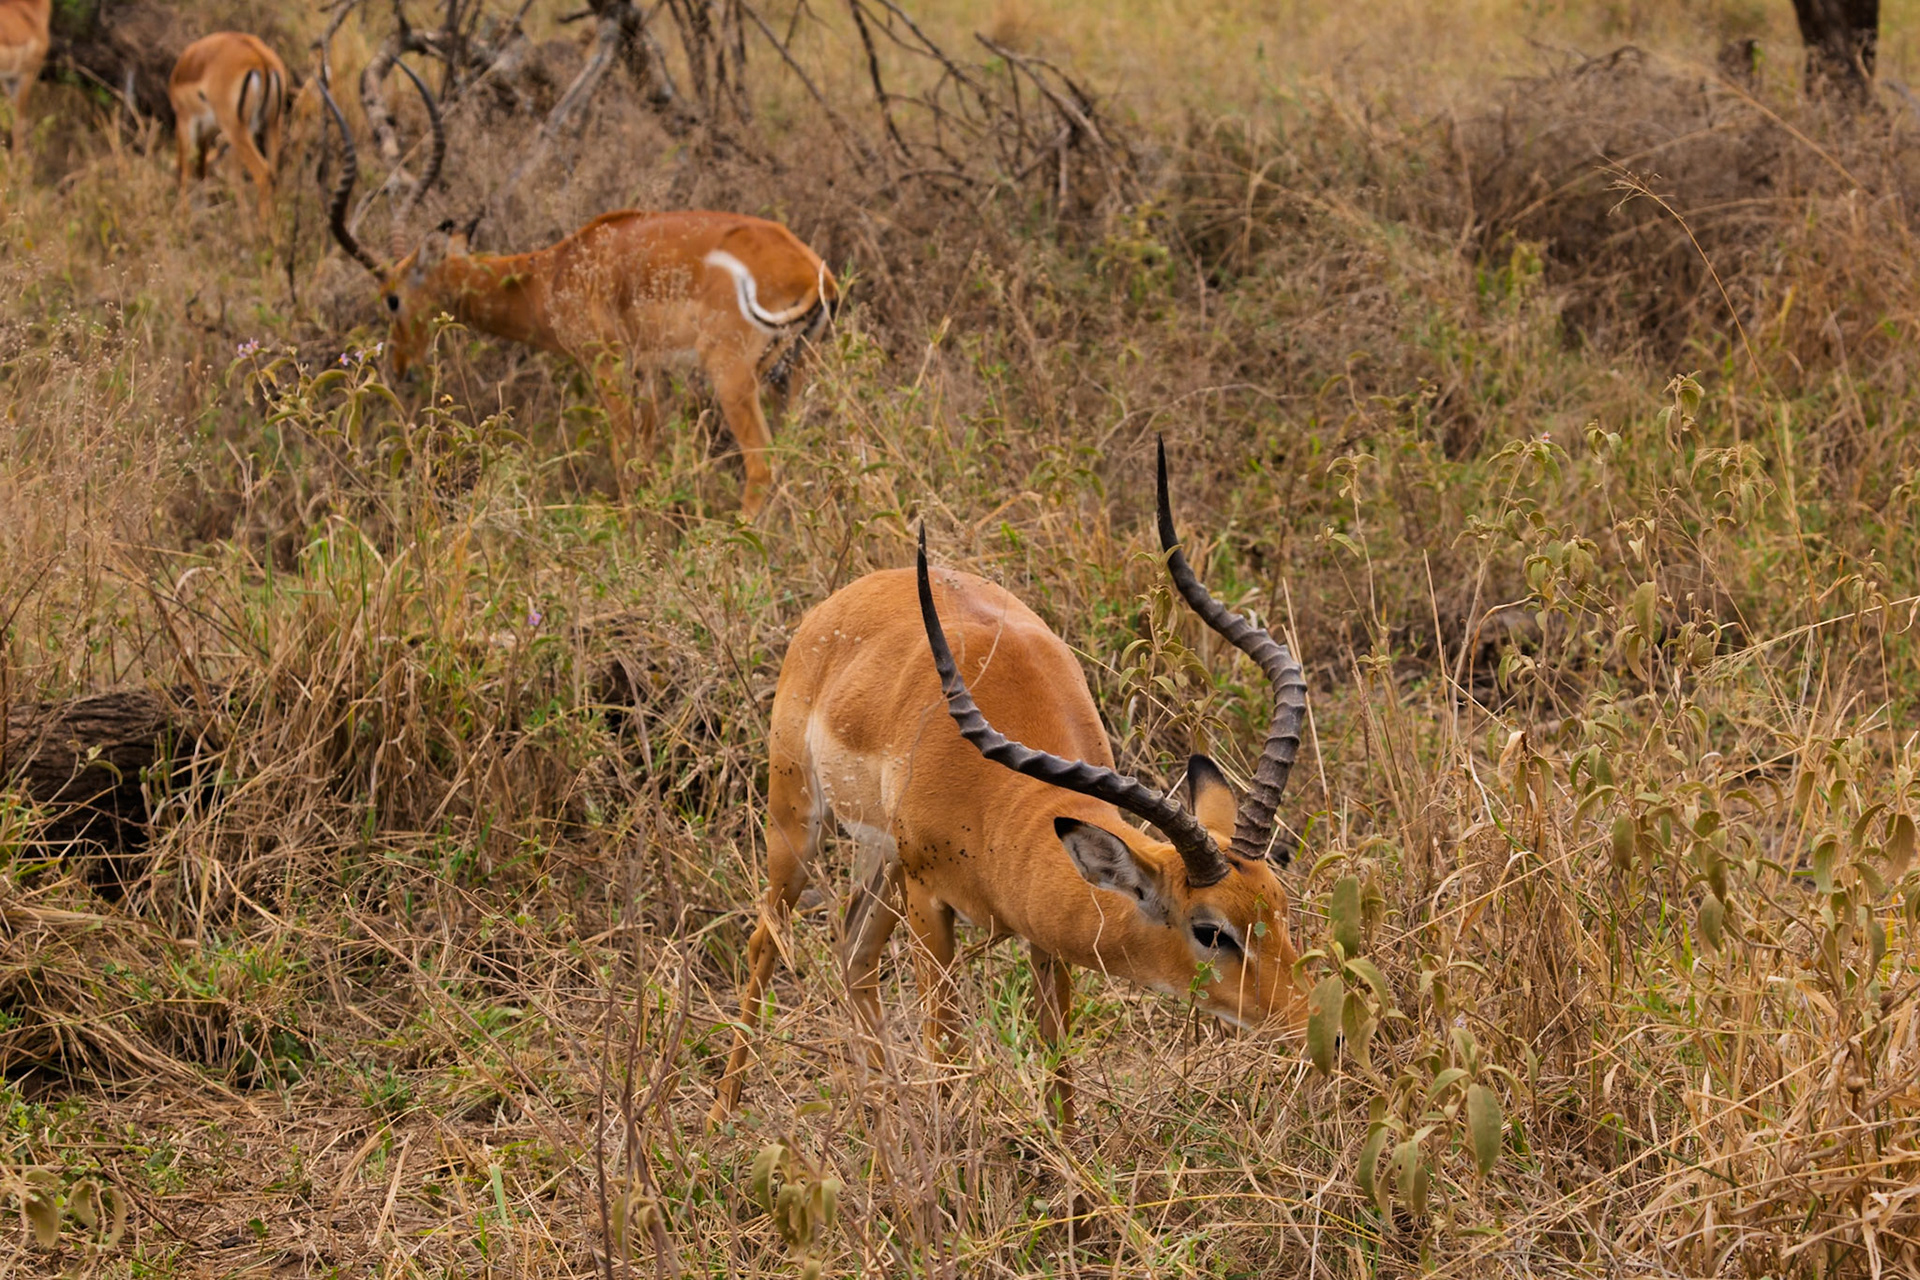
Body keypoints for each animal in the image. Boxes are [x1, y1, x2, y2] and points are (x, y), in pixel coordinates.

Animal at [169, 32, 291, 221]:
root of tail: (260, 58)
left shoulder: (185, 120)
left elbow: (186, 172)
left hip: (236, 129)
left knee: (263, 174)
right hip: (271, 125)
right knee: (273, 174)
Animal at [317, 84, 837, 521]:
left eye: (391, 299)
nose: (400, 368)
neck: (555, 271)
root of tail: (812, 271)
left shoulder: (607, 365)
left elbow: (624, 458)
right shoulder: (645, 371)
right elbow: (646, 457)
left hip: (731, 375)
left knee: (762, 464)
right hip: (797, 371)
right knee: (803, 455)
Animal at [710, 442, 1311, 1126]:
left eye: (1281, 903)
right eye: (1211, 930)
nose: (1312, 1026)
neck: (999, 807)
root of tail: (842, 600)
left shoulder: (1041, 931)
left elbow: (1059, 1060)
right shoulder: (931, 902)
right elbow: (945, 1049)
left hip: (884, 857)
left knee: (854, 948)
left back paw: (884, 1109)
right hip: (798, 821)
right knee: (766, 940)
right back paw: (724, 1113)